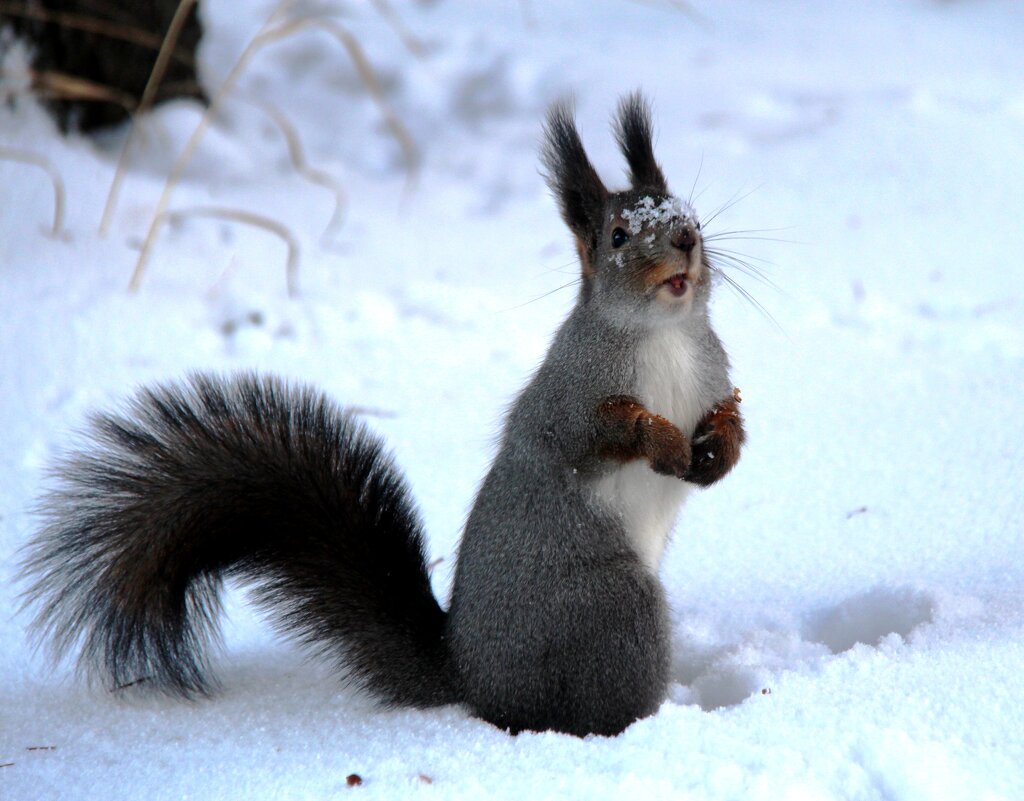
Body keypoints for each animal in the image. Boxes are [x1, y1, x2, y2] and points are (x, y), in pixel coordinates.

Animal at [19, 91, 745, 737]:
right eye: (619, 236)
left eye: (692, 216)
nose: (685, 240)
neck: (664, 335)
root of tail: (468, 676)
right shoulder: (568, 395)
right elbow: (587, 434)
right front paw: (661, 440)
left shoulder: (712, 373)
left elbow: (726, 418)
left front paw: (721, 449)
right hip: (610, 609)